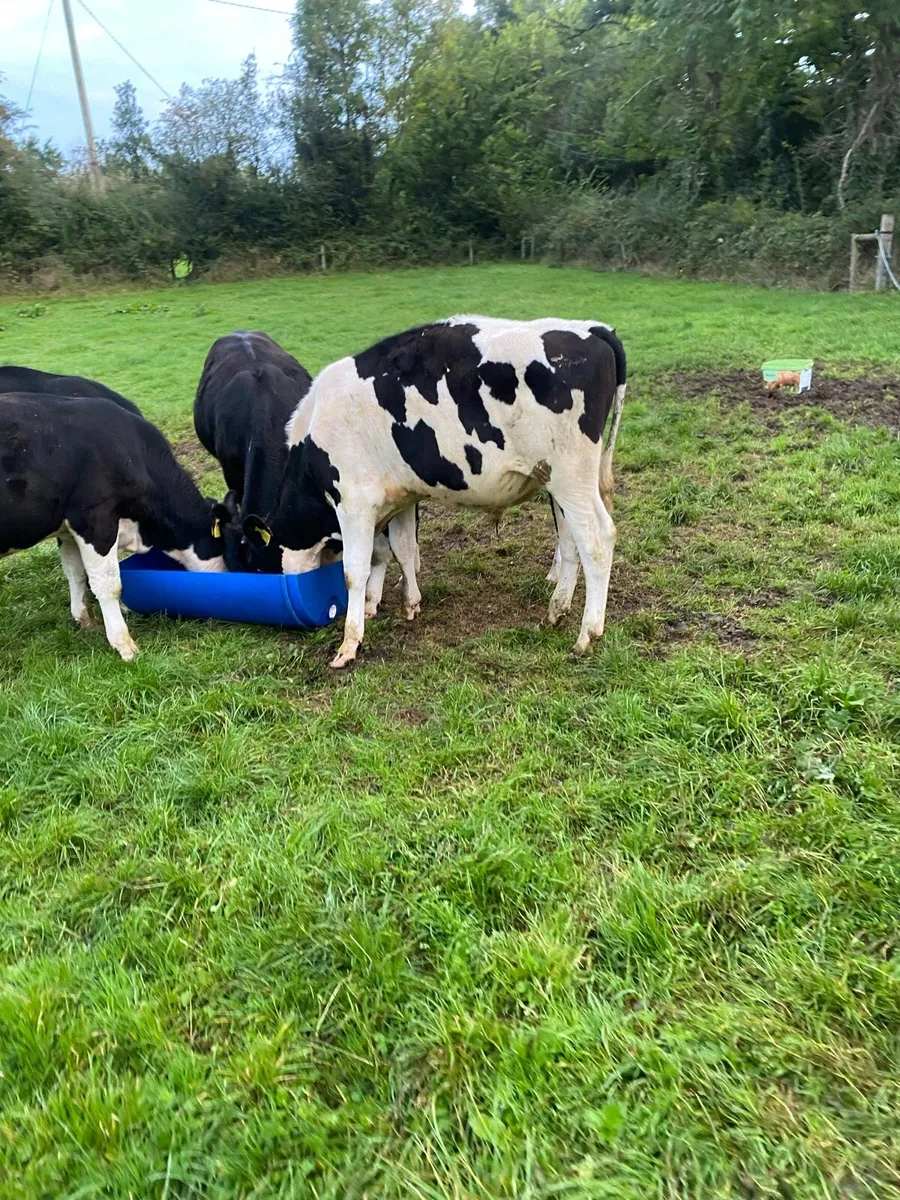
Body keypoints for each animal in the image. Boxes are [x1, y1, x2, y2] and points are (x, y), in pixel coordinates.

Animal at [0, 394, 225, 660]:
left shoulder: (68, 530)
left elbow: (75, 572)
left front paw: (84, 620)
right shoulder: (95, 518)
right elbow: (108, 584)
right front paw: (124, 644)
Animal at [242, 316, 626, 668]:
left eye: (253, 563)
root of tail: (592, 329)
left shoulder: (354, 504)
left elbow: (355, 571)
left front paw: (349, 644)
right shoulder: (399, 497)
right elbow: (403, 549)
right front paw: (408, 603)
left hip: (571, 477)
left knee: (597, 540)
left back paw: (588, 633)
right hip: (556, 482)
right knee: (570, 543)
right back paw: (556, 611)